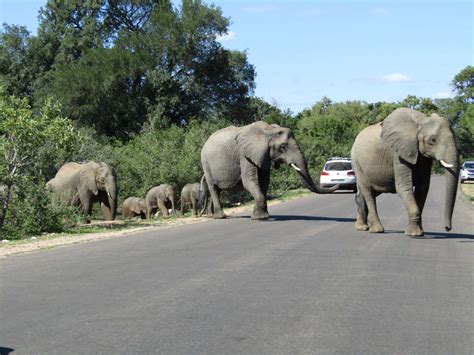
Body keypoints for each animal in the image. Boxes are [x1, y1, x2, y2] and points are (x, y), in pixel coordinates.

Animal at [200, 121, 336, 220]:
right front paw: (261, 218)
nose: (338, 185)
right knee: (213, 188)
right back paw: (220, 217)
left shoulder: (263, 155)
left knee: (217, 190)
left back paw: (211, 215)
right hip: (205, 162)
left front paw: (260, 216)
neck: (268, 131)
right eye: (283, 147)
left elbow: (264, 182)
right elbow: (249, 181)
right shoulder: (244, 154)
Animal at [352, 108, 460, 236]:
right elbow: (403, 187)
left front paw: (418, 232)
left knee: (365, 194)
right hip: (357, 163)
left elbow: (423, 188)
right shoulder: (398, 154)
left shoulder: (423, 157)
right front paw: (414, 234)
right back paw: (376, 230)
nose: (447, 228)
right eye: (432, 140)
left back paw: (362, 227)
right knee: (368, 192)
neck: (420, 122)